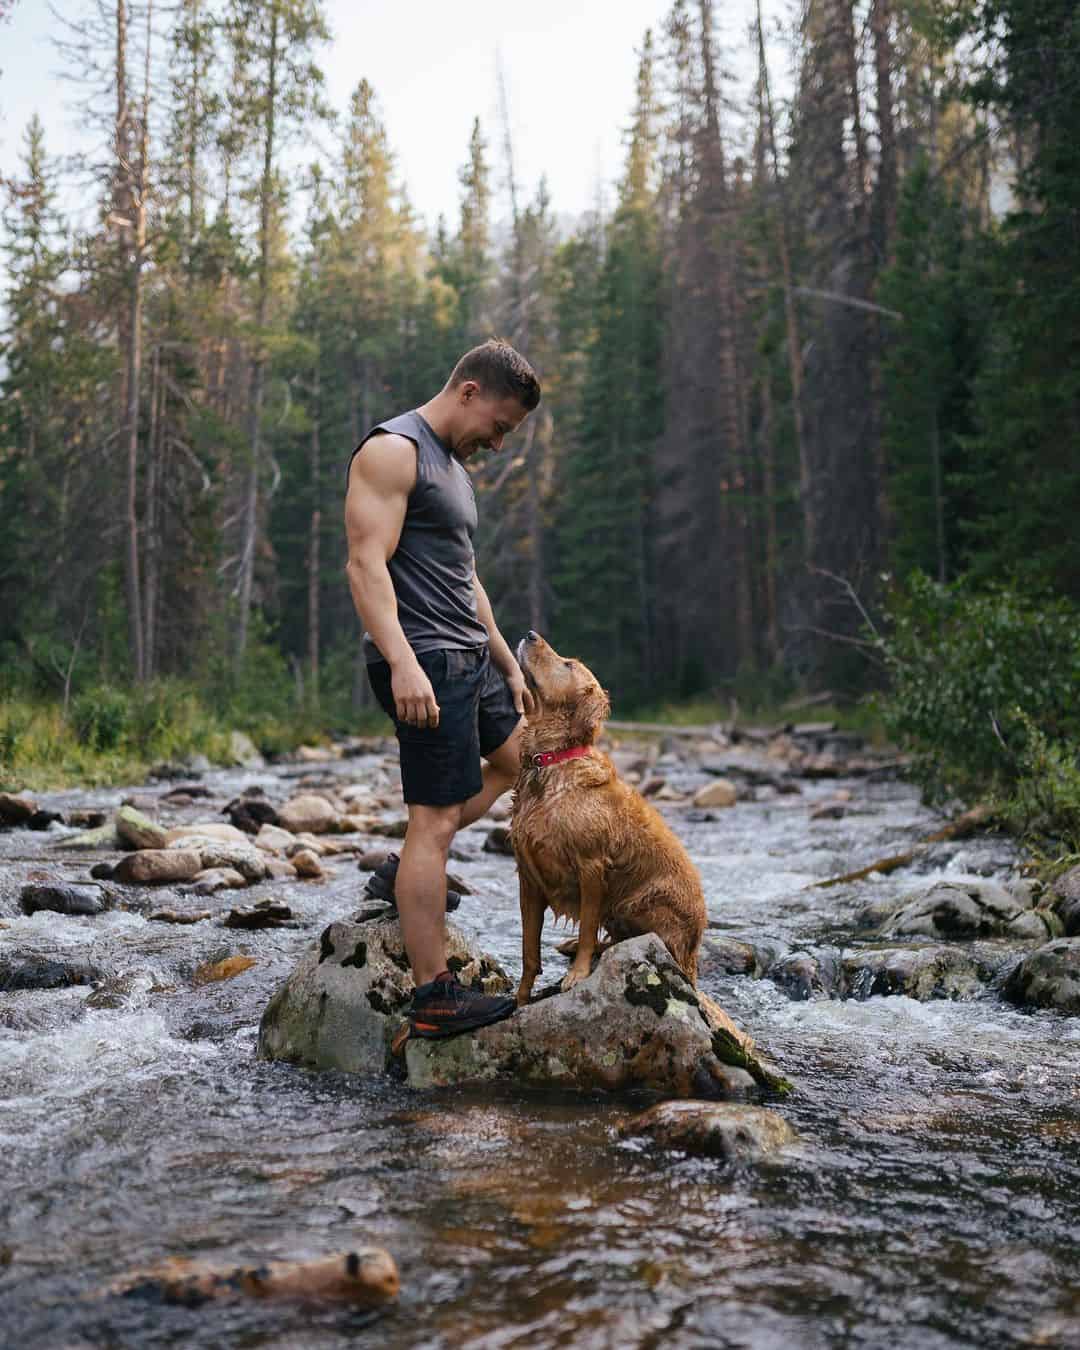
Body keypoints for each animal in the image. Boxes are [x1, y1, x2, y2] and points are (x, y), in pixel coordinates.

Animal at [513, 631, 707, 1004]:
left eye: (567, 665)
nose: (530, 634)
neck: (553, 761)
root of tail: (693, 955)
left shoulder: (591, 866)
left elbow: (588, 926)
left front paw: (576, 974)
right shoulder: (527, 877)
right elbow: (529, 949)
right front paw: (520, 998)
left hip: (638, 904)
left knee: (639, 943)